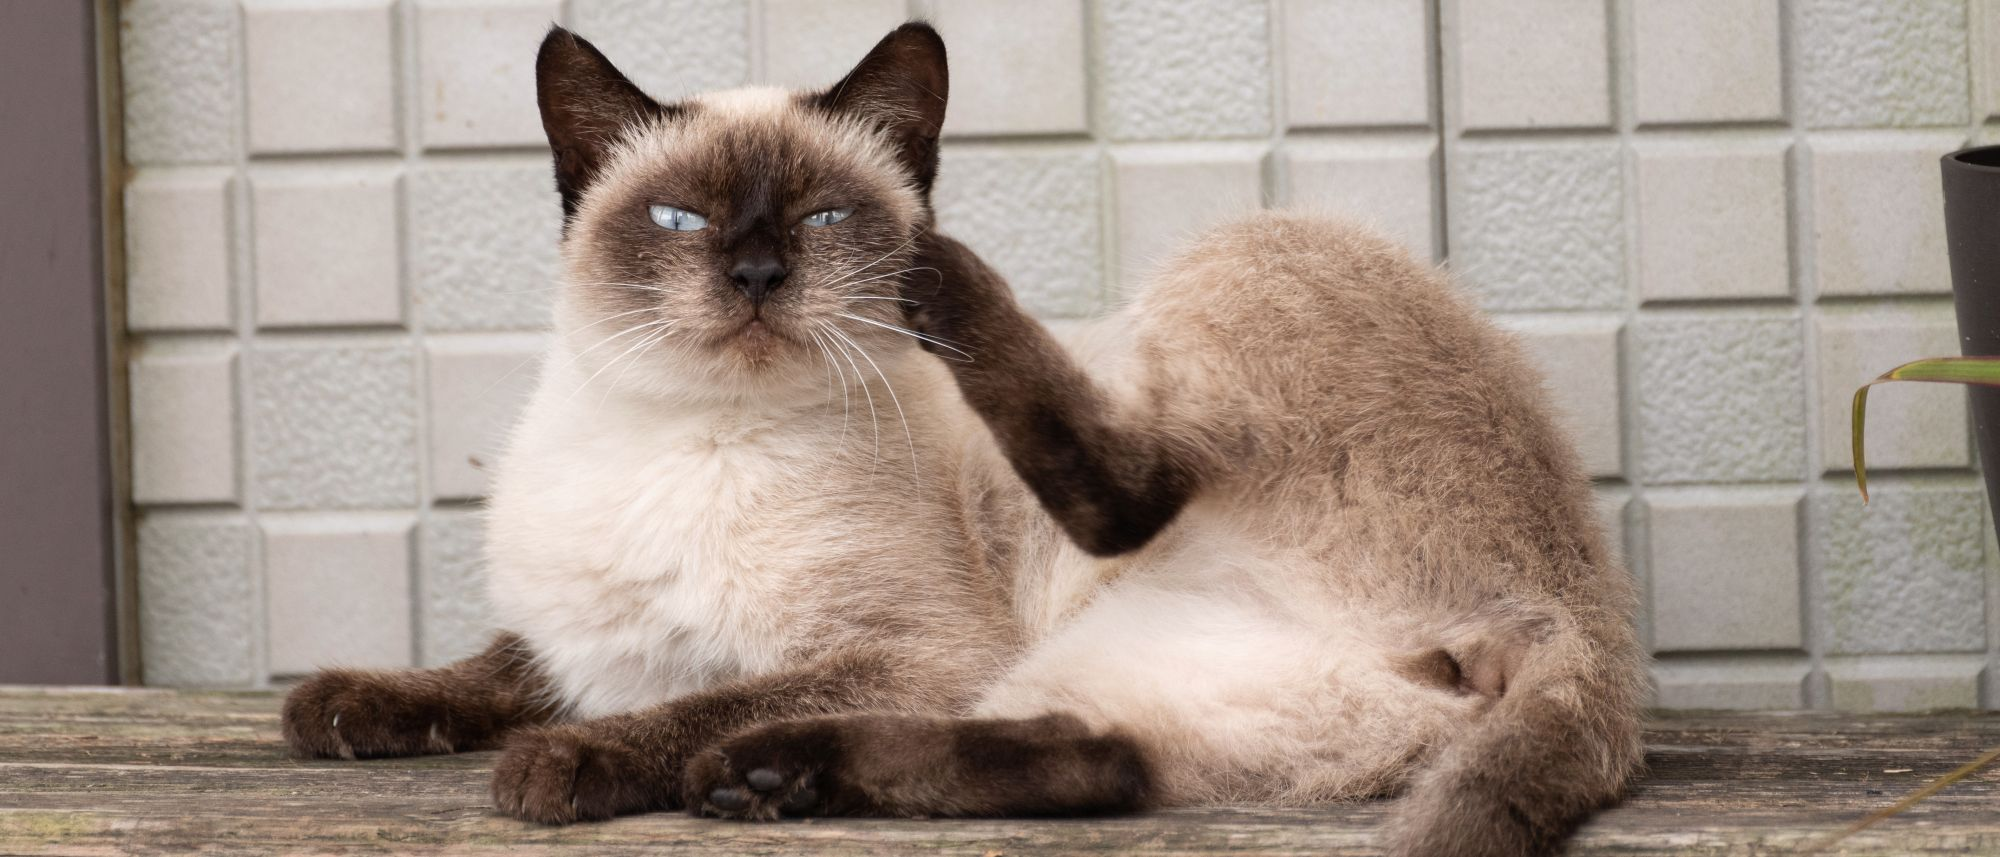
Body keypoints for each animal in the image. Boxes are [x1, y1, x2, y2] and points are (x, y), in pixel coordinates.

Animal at [286, 20, 1656, 857]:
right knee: (1099, 762)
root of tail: (1581, 604)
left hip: (1242, 253)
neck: (692, 435)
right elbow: (489, 665)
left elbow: (676, 704)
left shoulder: (907, 653)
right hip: (1179, 680)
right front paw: (345, 707)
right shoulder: (588, 639)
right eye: (679, 218)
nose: (756, 274)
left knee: (1128, 494)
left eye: (825, 217)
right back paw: (772, 777)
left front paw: (554, 765)